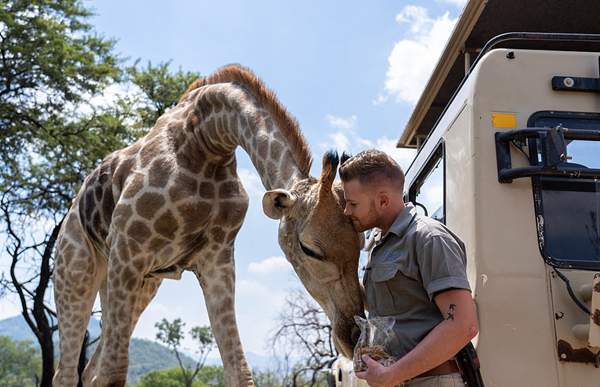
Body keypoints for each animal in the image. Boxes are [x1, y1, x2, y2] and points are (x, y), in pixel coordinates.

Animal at [51, 65, 364, 386]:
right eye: (308, 248)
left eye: (362, 244)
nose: (352, 337)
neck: (206, 140)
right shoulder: (128, 248)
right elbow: (114, 371)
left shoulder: (217, 258)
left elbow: (240, 371)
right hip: (75, 271)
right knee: (67, 372)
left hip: (140, 283)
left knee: (89, 370)